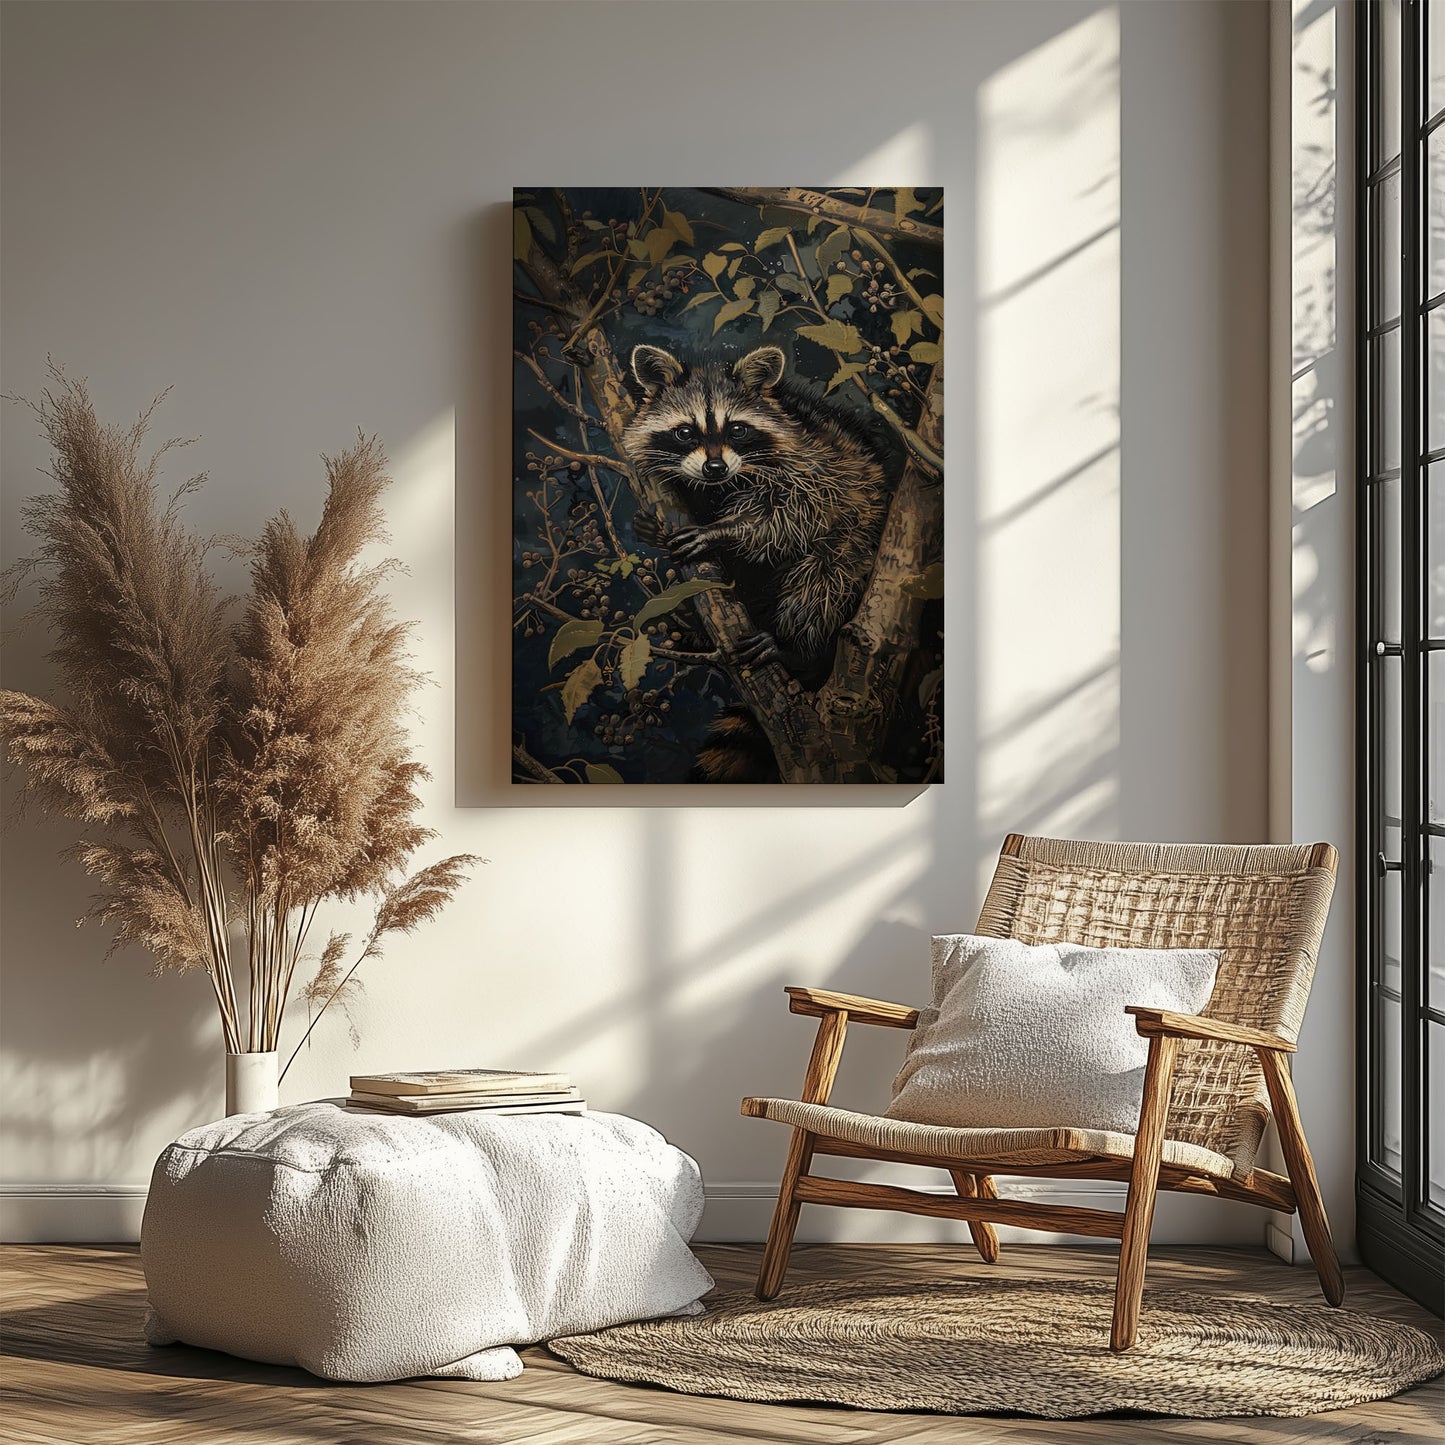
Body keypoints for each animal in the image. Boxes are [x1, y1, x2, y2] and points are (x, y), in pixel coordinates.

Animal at [621, 343, 896, 781]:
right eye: (685, 432)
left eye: (737, 429)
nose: (714, 467)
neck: (724, 484)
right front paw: (650, 528)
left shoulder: (816, 466)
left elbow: (790, 516)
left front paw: (724, 529)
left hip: (857, 546)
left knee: (821, 581)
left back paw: (796, 647)